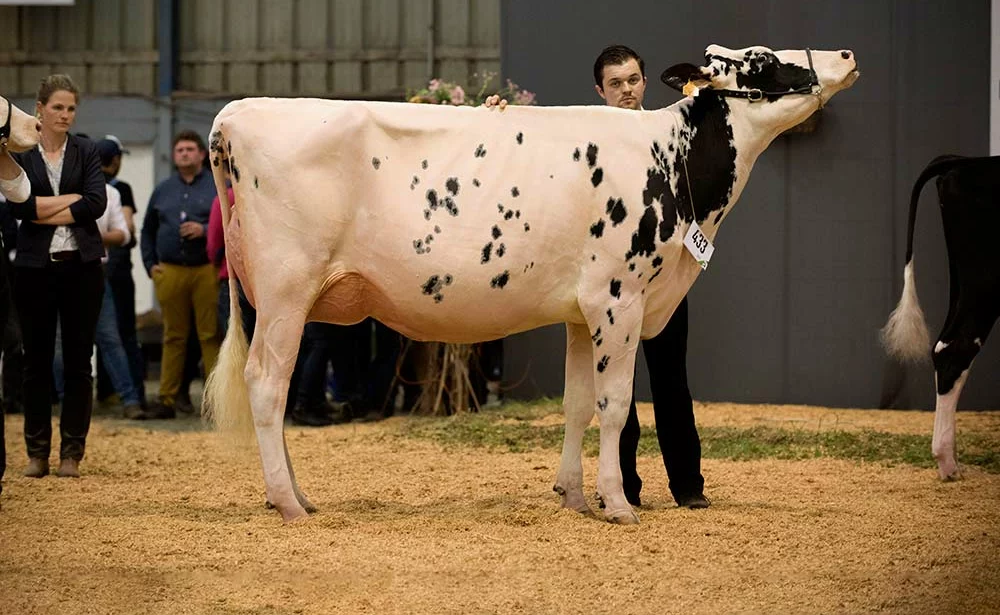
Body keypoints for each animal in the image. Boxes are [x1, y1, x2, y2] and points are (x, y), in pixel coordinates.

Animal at [205, 44, 860, 524]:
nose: (847, 53)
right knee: (267, 384)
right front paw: (618, 504)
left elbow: (577, 404)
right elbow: (615, 404)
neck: (668, 159)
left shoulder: (580, 311)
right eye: (763, 60)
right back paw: (288, 503)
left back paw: (296, 495)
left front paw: (574, 496)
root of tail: (238, 111)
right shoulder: (618, 298)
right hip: (287, 289)